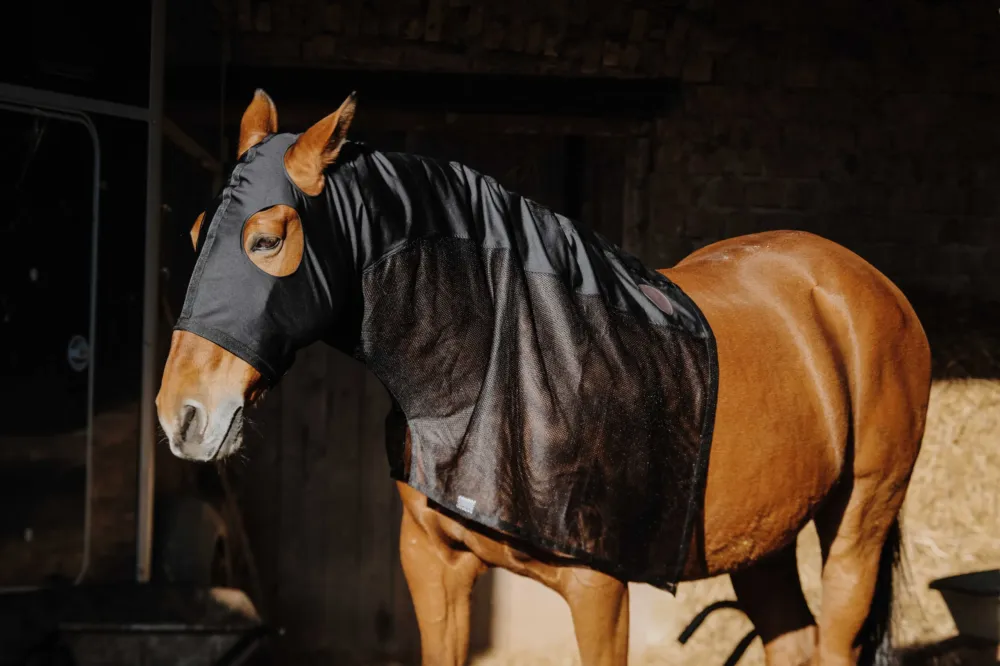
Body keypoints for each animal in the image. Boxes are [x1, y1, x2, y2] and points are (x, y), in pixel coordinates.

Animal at [156, 90, 931, 666]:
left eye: (267, 239)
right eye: (195, 233)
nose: (180, 416)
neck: (492, 365)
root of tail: (868, 286)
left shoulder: (597, 590)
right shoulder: (434, 566)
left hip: (858, 524)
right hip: (764, 540)